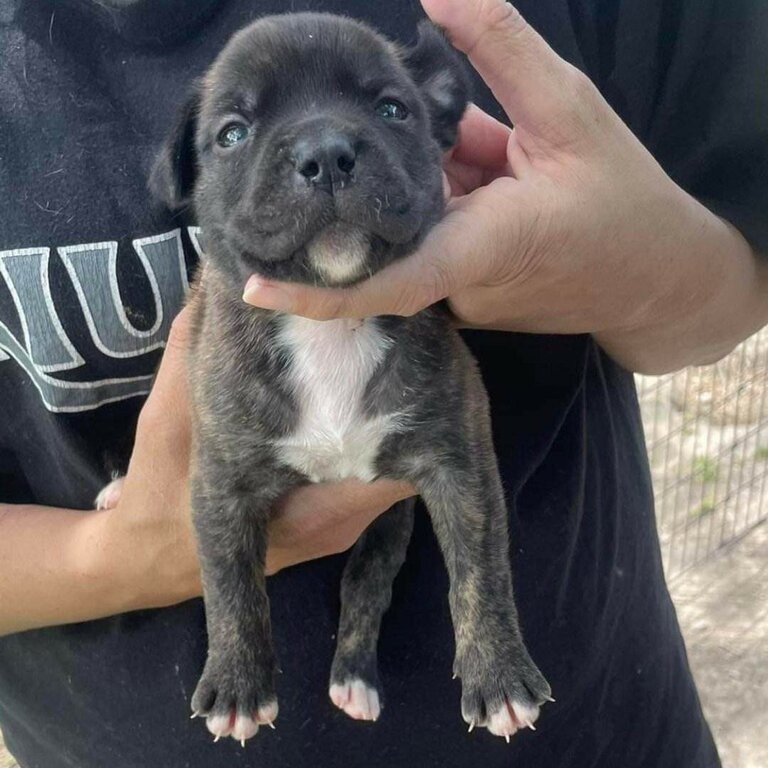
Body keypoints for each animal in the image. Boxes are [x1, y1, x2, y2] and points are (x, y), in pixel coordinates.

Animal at [109, 10, 552, 744]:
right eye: (232, 133)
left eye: (393, 109)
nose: (326, 152)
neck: (330, 322)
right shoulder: (220, 483)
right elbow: (228, 583)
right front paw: (237, 683)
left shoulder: (459, 464)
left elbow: (481, 568)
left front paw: (499, 676)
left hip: (390, 521)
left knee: (367, 583)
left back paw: (354, 678)